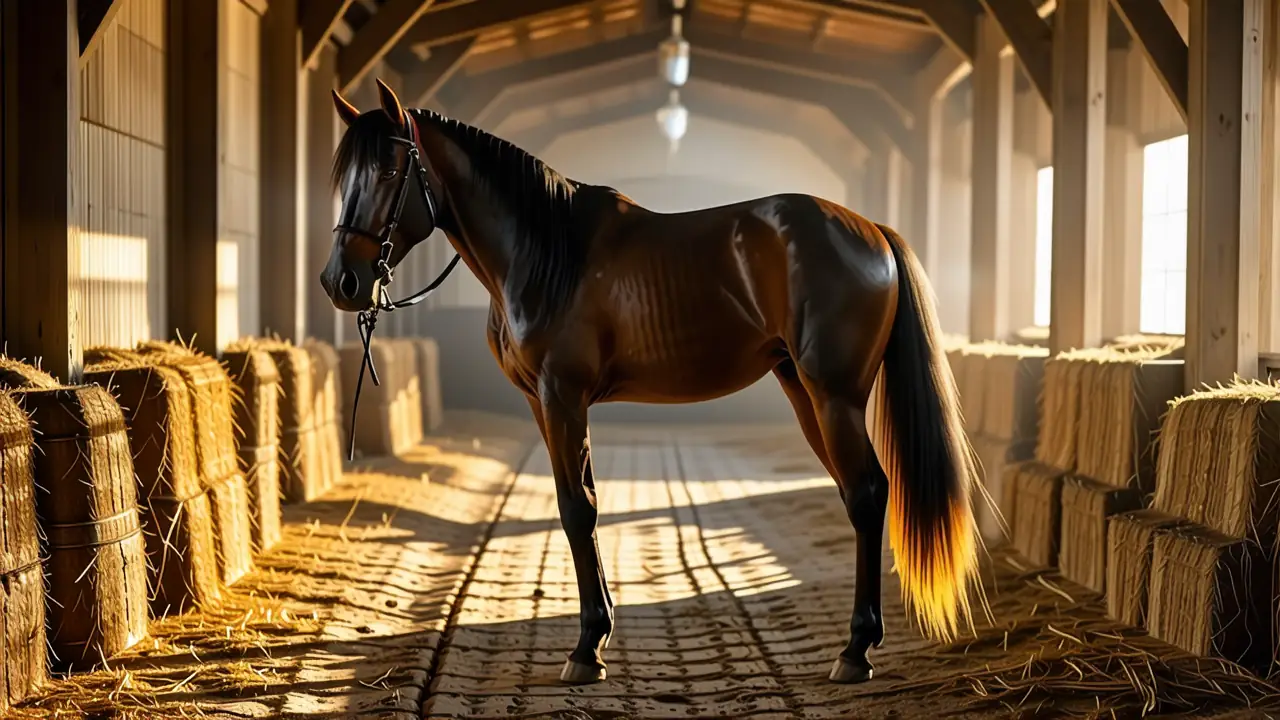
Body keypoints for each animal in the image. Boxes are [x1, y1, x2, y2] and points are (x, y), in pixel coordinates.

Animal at [320, 78, 982, 686]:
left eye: (388, 169)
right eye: (342, 174)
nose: (339, 282)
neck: (546, 250)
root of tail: (870, 230)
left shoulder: (563, 397)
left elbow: (576, 510)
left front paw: (585, 650)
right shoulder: (541, 403)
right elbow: (581, 502)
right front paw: (599, 633)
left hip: (835, 396)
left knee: (868, 494)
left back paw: (855, 652)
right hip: (804, 392)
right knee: (857, 491)